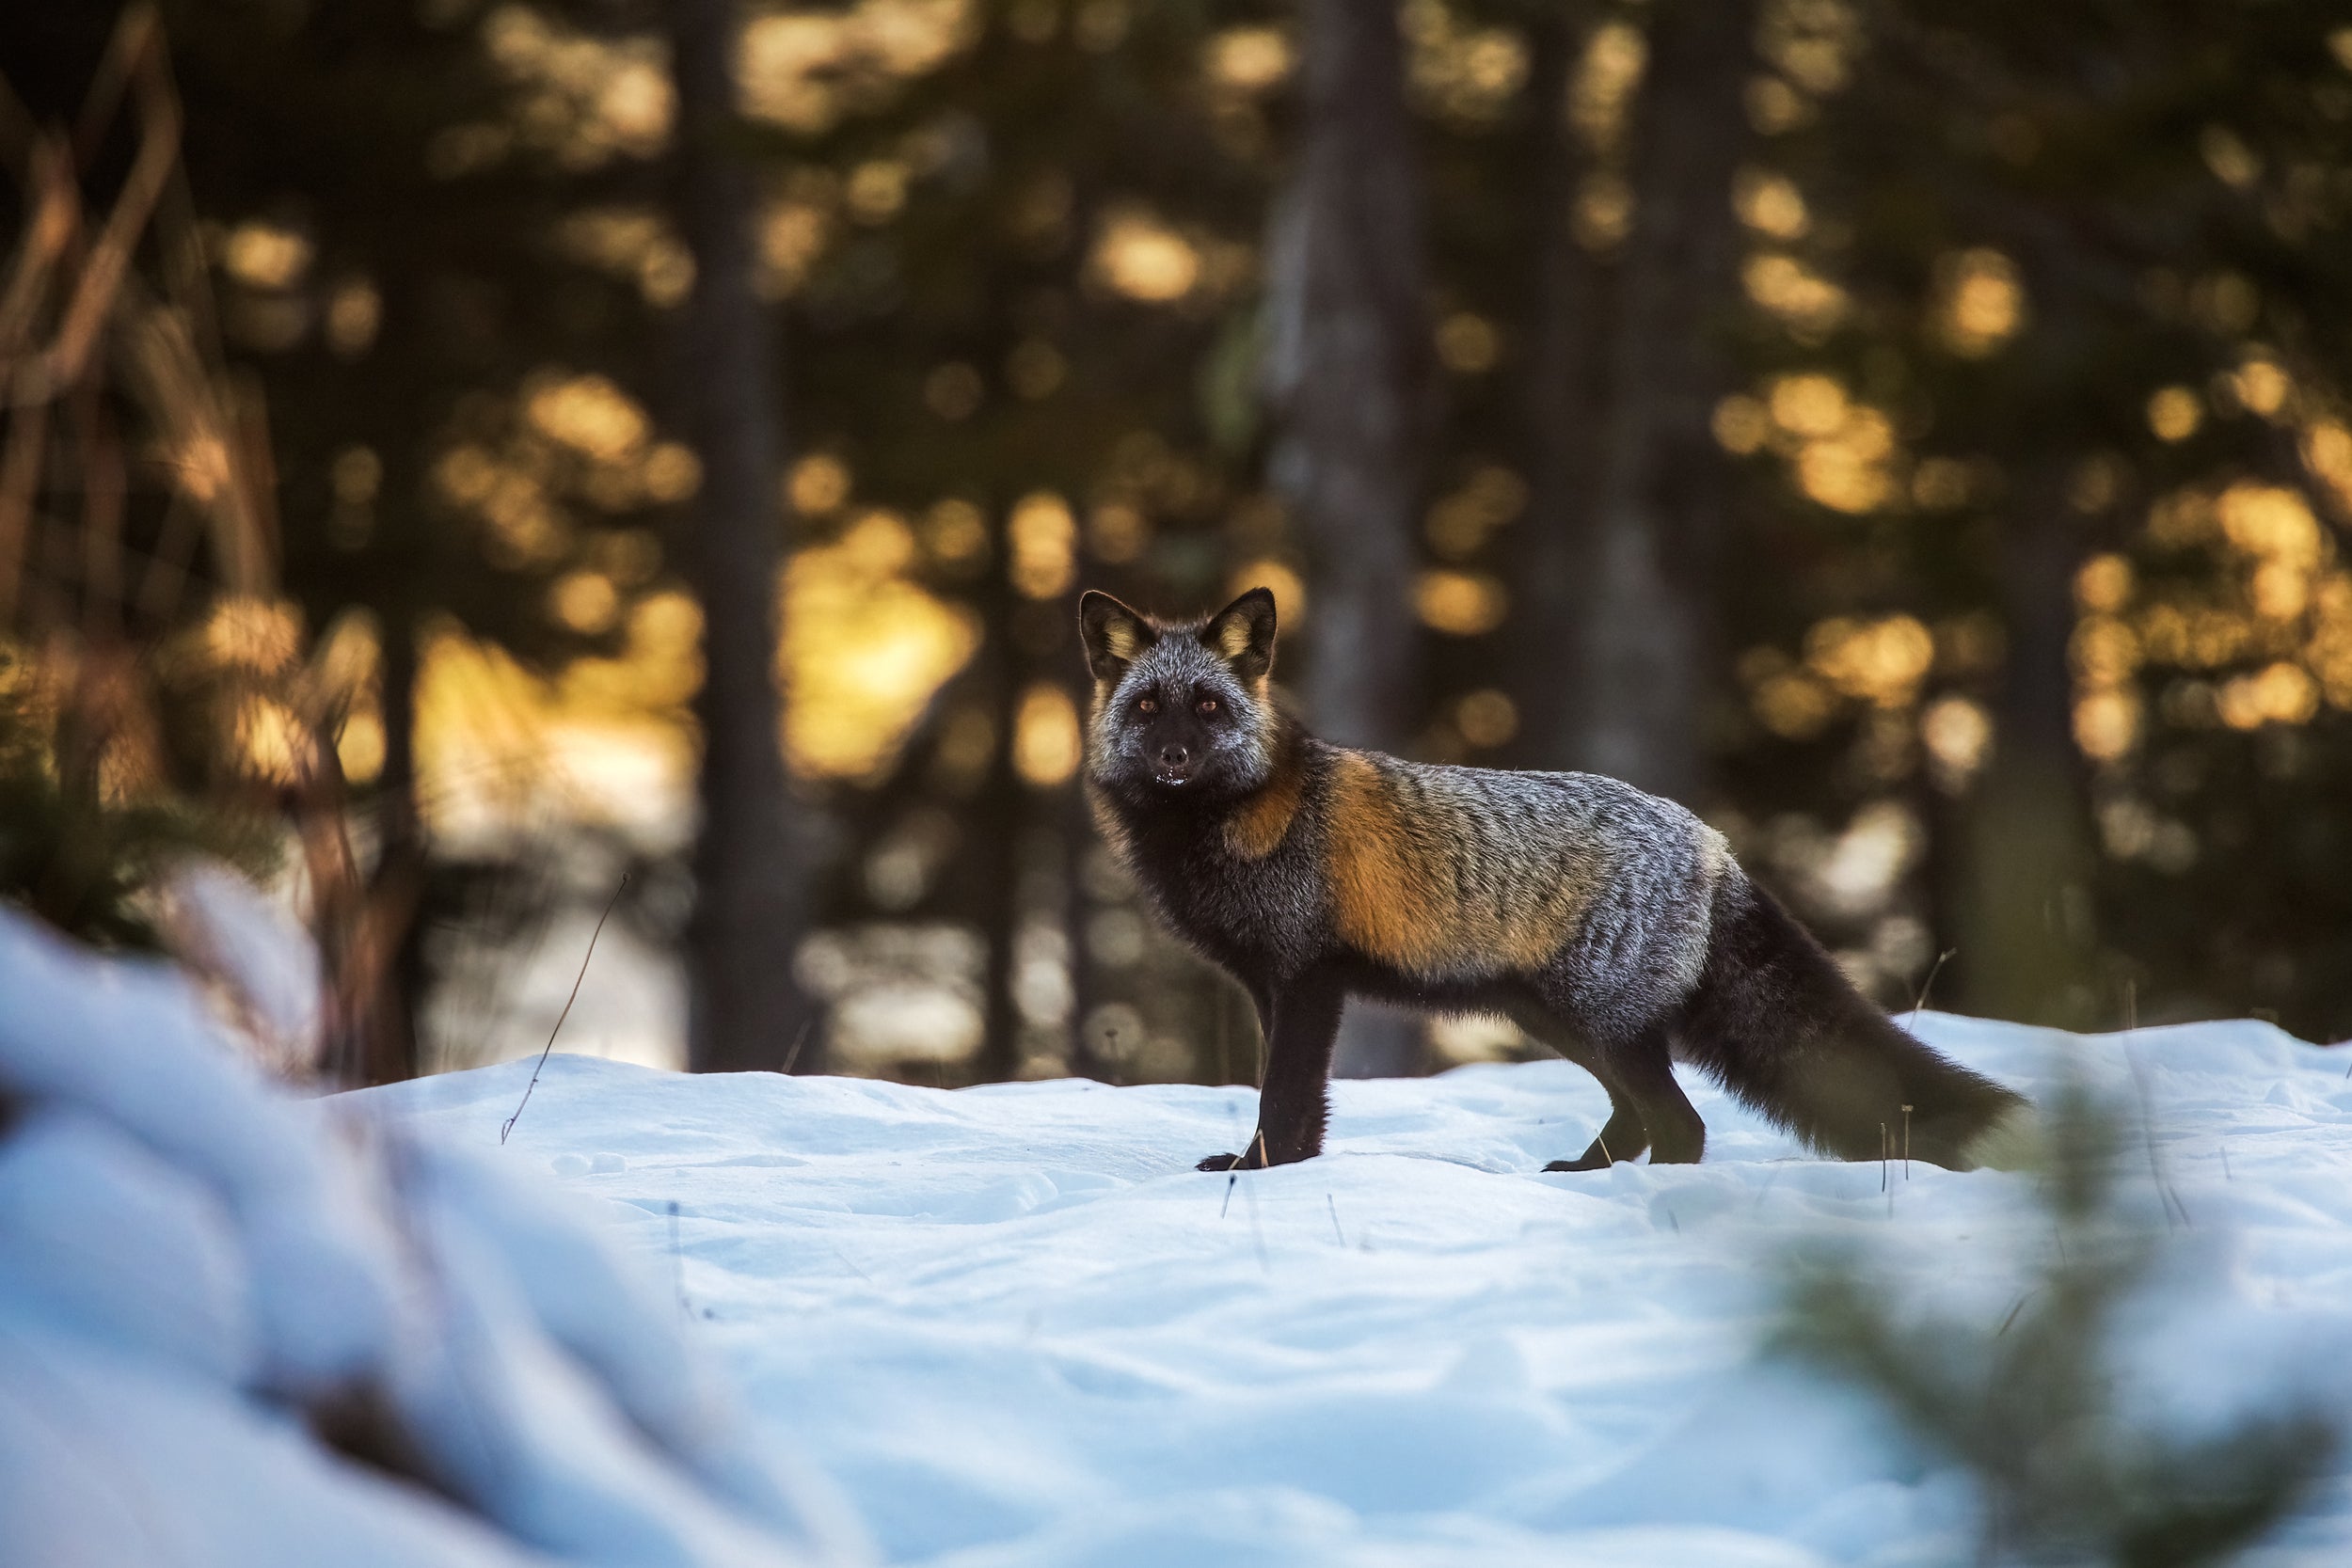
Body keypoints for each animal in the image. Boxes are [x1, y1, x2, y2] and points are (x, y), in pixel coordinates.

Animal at [1078, 585, 2029, 1174]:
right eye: (1148, 707)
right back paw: (1583, 1174)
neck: (1230, 820)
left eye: (1208, 707)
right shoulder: (1273, 986)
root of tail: (1712, 840)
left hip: (1598, 1022)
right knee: (1643, 1118)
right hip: (1558, 1019)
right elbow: (1301, 1103)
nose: (1172, 756)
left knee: (1682, 1123)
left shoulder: (1306, 981)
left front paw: (1259, 1173)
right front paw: (1289, 1172)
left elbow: (1283, 1098)